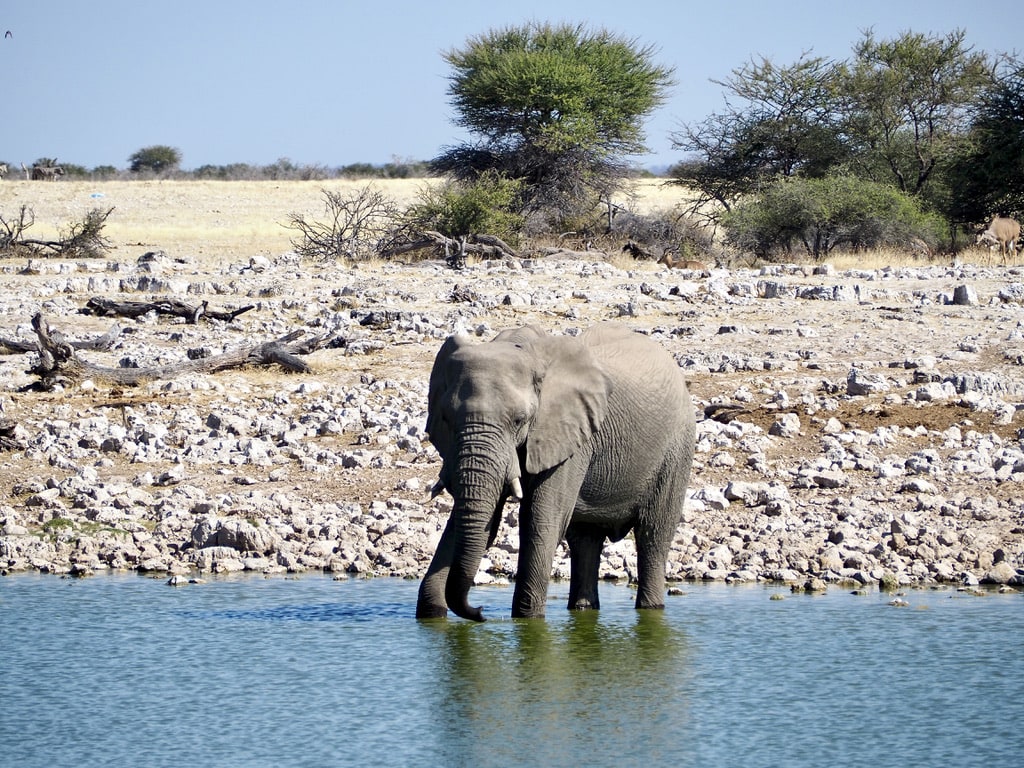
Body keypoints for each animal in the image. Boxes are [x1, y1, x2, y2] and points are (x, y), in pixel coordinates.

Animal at [415, 321, 696, 622]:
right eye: (446, 418)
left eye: (520, 420)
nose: (480, 612)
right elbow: (467, 519)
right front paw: (431, 615)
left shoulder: (569, 436)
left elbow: (540, 520)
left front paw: (527, 621)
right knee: (585, 539)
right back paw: (583, 609)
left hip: (677, 448)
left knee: (652, 536)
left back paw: (651, 608)